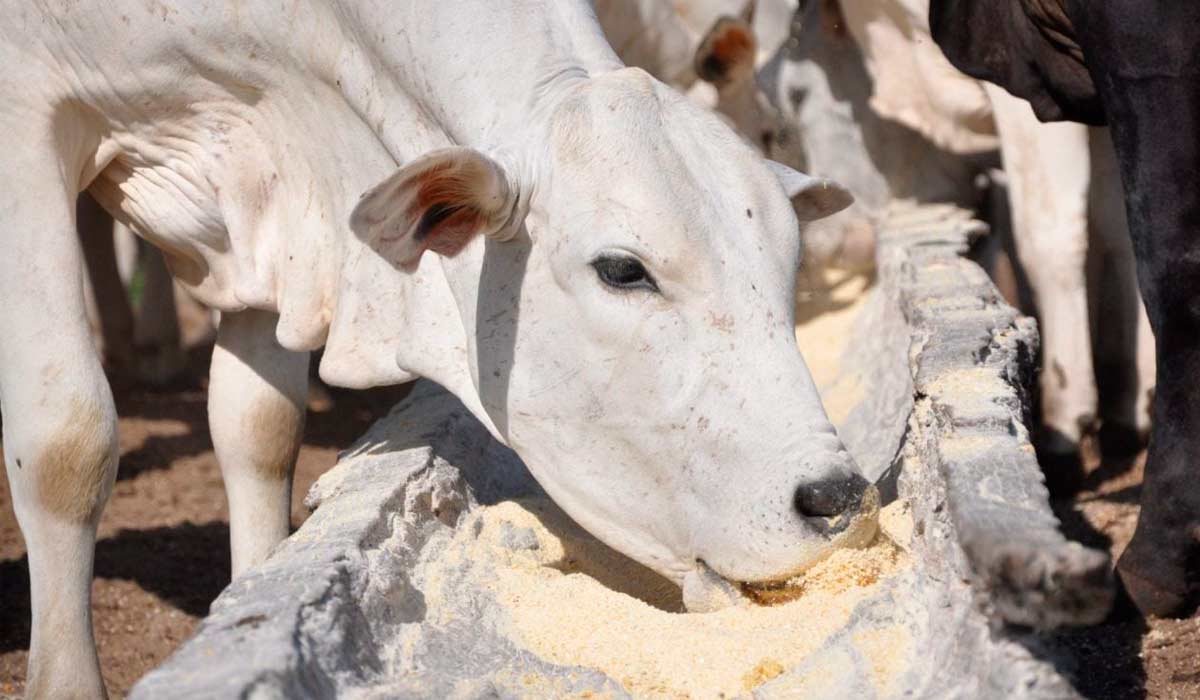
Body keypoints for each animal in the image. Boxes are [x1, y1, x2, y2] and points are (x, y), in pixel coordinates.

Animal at [0, 2, 864, 696]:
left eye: (787, 261)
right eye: (623, 269)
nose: (837, 498)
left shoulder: (272, 205)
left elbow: (259, 430)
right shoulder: (24, 113)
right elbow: (67, 443)